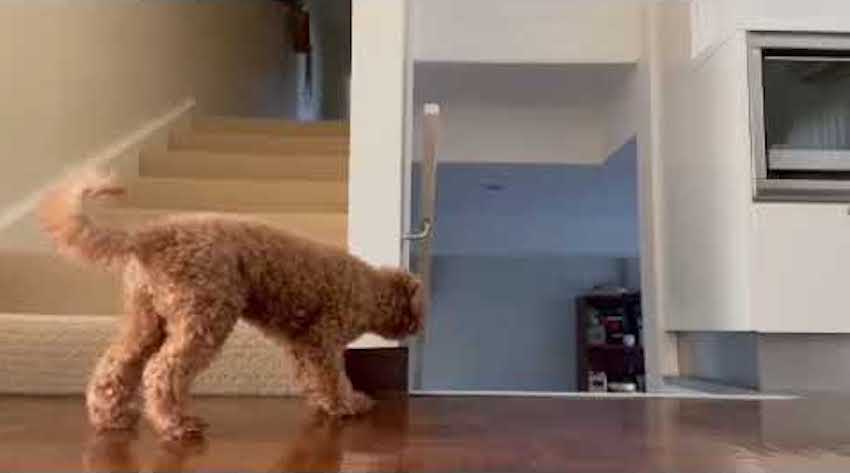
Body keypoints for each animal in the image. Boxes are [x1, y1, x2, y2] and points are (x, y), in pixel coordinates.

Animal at [39, 171, 424, 440]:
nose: (421, 330)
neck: (371, 288)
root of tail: (149, 237)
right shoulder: (323, 338)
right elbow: (333, 377)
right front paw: (349, 404)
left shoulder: (302, 344)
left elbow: (313, 378)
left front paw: (324, 404)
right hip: (206, 315)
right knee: (162, 370)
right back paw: (177, 423)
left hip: (146, 317)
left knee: (117, 365)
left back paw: (112, 417)